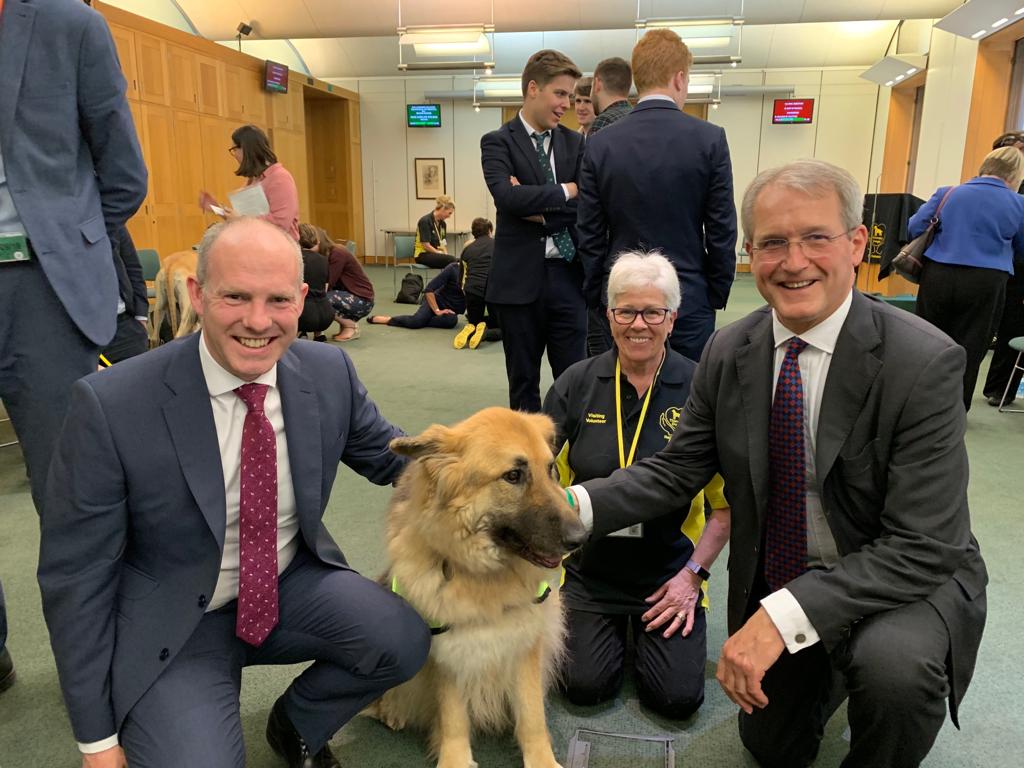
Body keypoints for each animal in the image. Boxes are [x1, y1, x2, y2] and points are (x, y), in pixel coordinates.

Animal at [372, 409, 589, 768]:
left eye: (550, 469)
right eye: (513, 476)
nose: (581, 537)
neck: (484, 575)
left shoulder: (524, 645)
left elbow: (532, 714)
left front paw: (541, 759)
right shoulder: (448, 653)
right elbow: (453, 718)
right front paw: (455, 760)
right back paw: (391, 709)